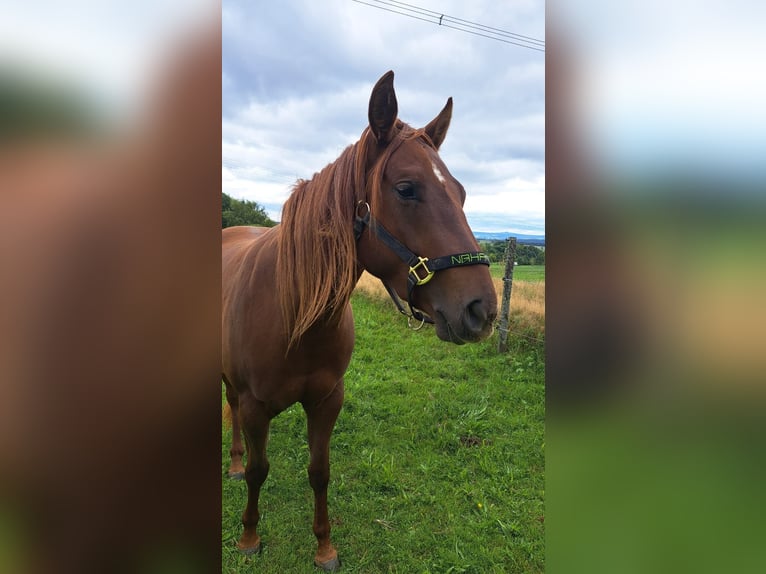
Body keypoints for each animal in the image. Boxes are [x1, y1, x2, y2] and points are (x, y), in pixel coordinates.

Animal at [221, 70, 498, 570]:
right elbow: (257, 470)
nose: (481, 310)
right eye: (406, 188)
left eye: (462, 192)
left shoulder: (328, 400)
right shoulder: (254, 406)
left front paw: (324, 546)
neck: (293, 316)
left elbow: (319, 471)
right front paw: (249, 536)